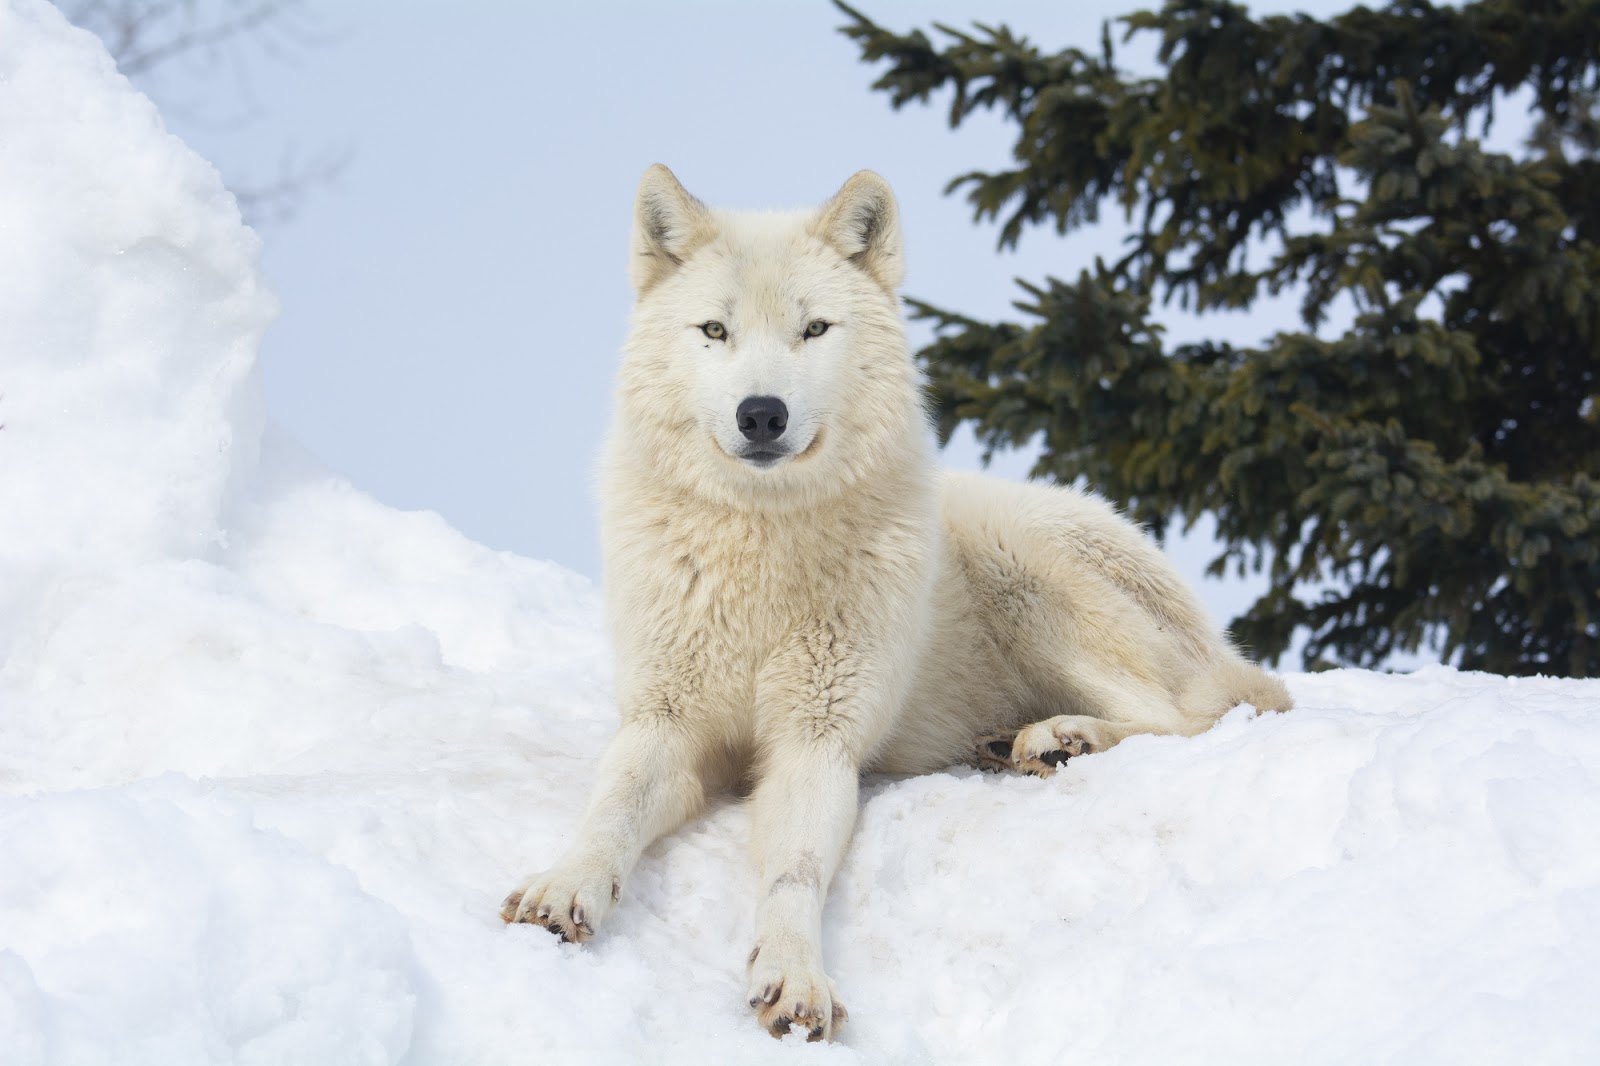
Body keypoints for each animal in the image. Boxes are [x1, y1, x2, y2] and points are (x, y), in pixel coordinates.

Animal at [505, 166, 1292, 1037]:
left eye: (814, 330)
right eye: (714, 330)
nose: (762, 414)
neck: (762, 558)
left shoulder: (817, 743)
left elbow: (795, 872)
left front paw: (795, 976)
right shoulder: (663, 724)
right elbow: (610, 813)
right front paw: (564, 887)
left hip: (1021, 556)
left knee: (1193, 716)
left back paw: (1062, 739)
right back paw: (1012, 743)